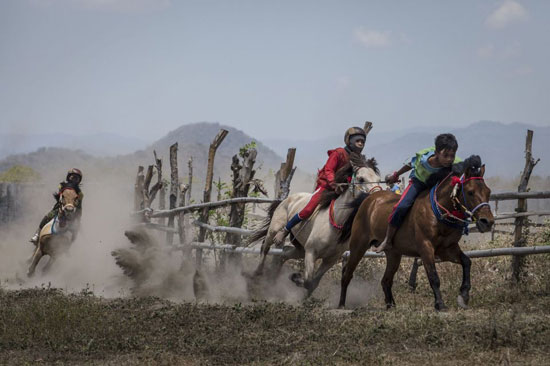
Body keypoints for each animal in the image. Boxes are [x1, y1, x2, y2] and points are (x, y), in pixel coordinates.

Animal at [251, 153, 384, 296]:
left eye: (378, 179)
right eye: (361, 178)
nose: (377, 196)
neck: (336, 222)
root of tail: (286, 199)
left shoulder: (330, 260)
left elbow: (313, 284)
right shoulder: (311, 252)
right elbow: (309, 281)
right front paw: (296, 278)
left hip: (300, 248)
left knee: (284, 253)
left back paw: (273, 280)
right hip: (275, 229)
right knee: (265, 247)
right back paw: (257, 273)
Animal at [340, 156, 496, 310]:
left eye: (488, 192)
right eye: (470, 192)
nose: (487, 222)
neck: (438, 212)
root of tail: (368, 200)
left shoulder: (448, 249)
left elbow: (467, 262)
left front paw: (464, 295)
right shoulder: (425, 248)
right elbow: (433, 276)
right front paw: (440, 304)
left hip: (394, 254)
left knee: (386, 280)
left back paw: (391, 305)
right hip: (358, 246)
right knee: (347, 274)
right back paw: (341, 304)